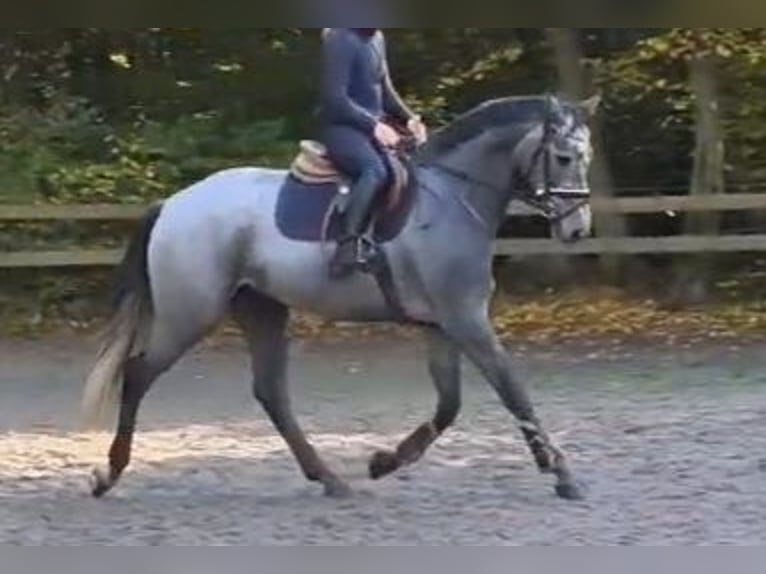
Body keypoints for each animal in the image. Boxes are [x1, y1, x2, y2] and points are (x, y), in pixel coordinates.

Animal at [82, 93, 600, 502]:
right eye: (563, 156)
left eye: (587, 155)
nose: (577, 230)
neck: (453, 197)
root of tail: (173, 204)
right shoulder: (466, 320)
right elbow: (513, 391)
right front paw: (563, 475)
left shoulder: (442, 326)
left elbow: (449, 405)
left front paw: (385, 461)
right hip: (190, 315)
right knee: (138, 374)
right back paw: (109, 473)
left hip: (262, 309)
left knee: (271, 392)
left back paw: (329, 478)